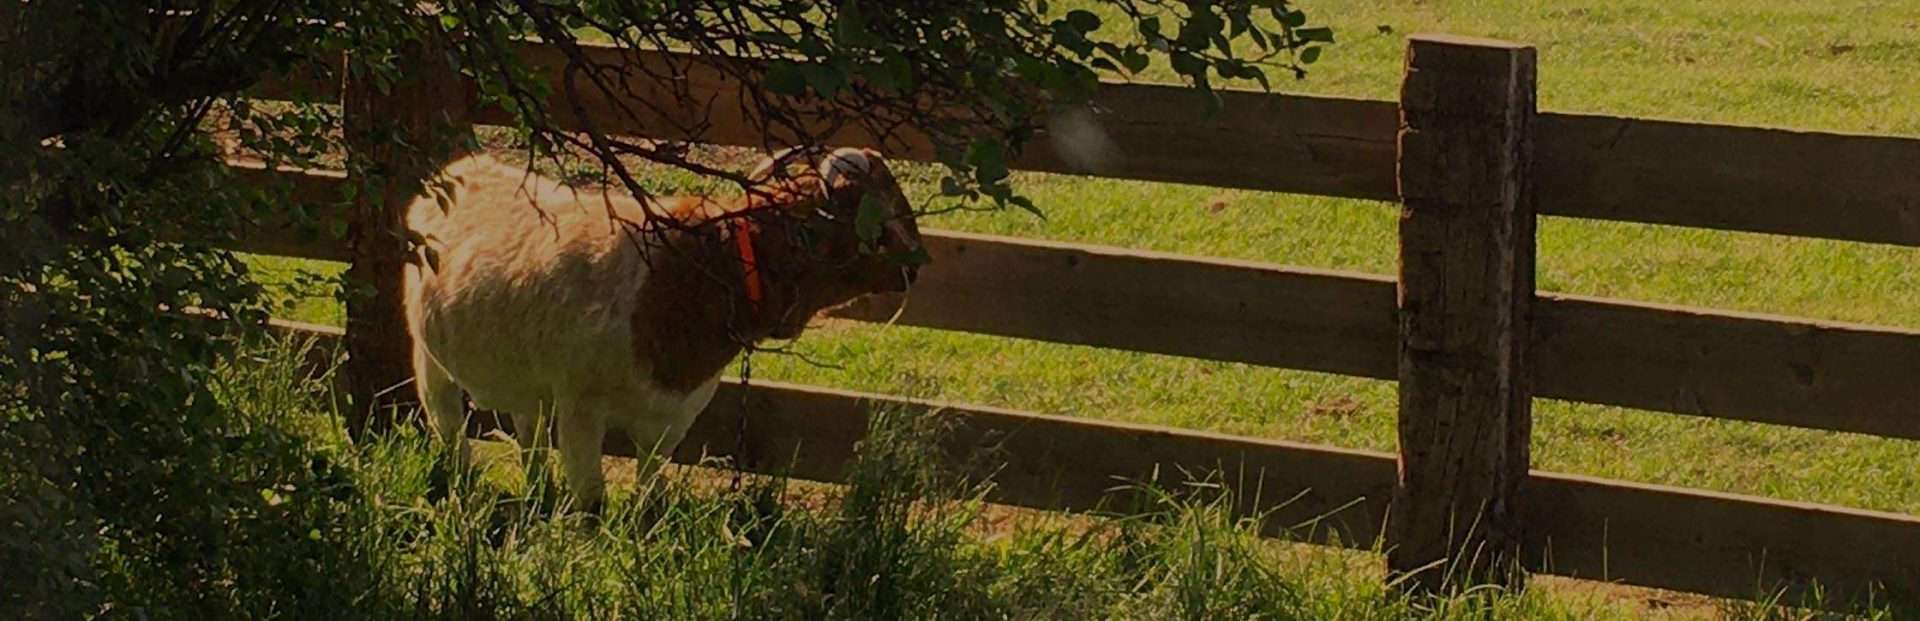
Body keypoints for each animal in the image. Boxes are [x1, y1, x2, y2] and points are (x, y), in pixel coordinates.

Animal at [402, 147, 925, 510]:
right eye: (880, 218)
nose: (919, 264)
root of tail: (459, 169)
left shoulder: (672, 416)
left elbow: (649, 493)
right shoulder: (580, 409)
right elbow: (591, 503)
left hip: (525, 381)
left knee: (528, 435)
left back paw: (536, 494)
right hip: (429, 361)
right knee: (448, 425)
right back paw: (463, 485)